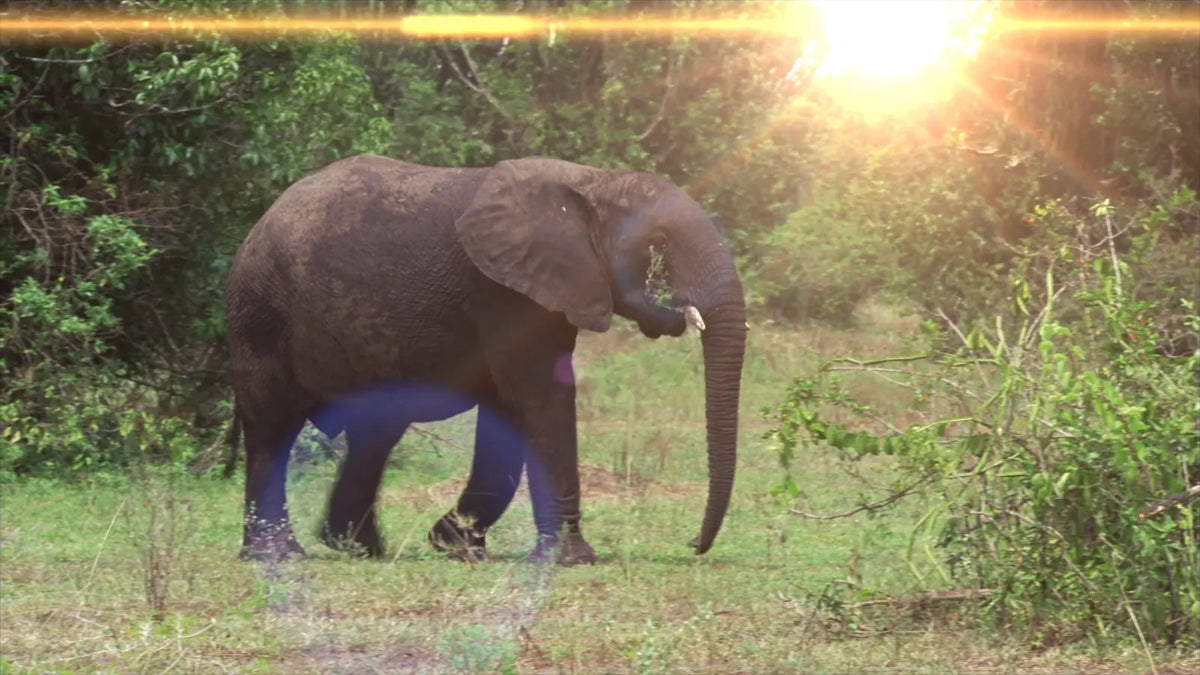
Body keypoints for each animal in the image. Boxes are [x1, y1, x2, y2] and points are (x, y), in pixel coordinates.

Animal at [226, 154, 747, 564]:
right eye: (659, 245)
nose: (693, 546)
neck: (592, 182)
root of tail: (259, 222)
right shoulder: (503, 292)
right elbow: (540, 398)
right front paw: (573, 559)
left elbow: (508, 408)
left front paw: (453, 544)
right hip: (260, 313)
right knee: (272, 426)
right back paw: (278, 554)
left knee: (375, 432)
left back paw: (358, 548)